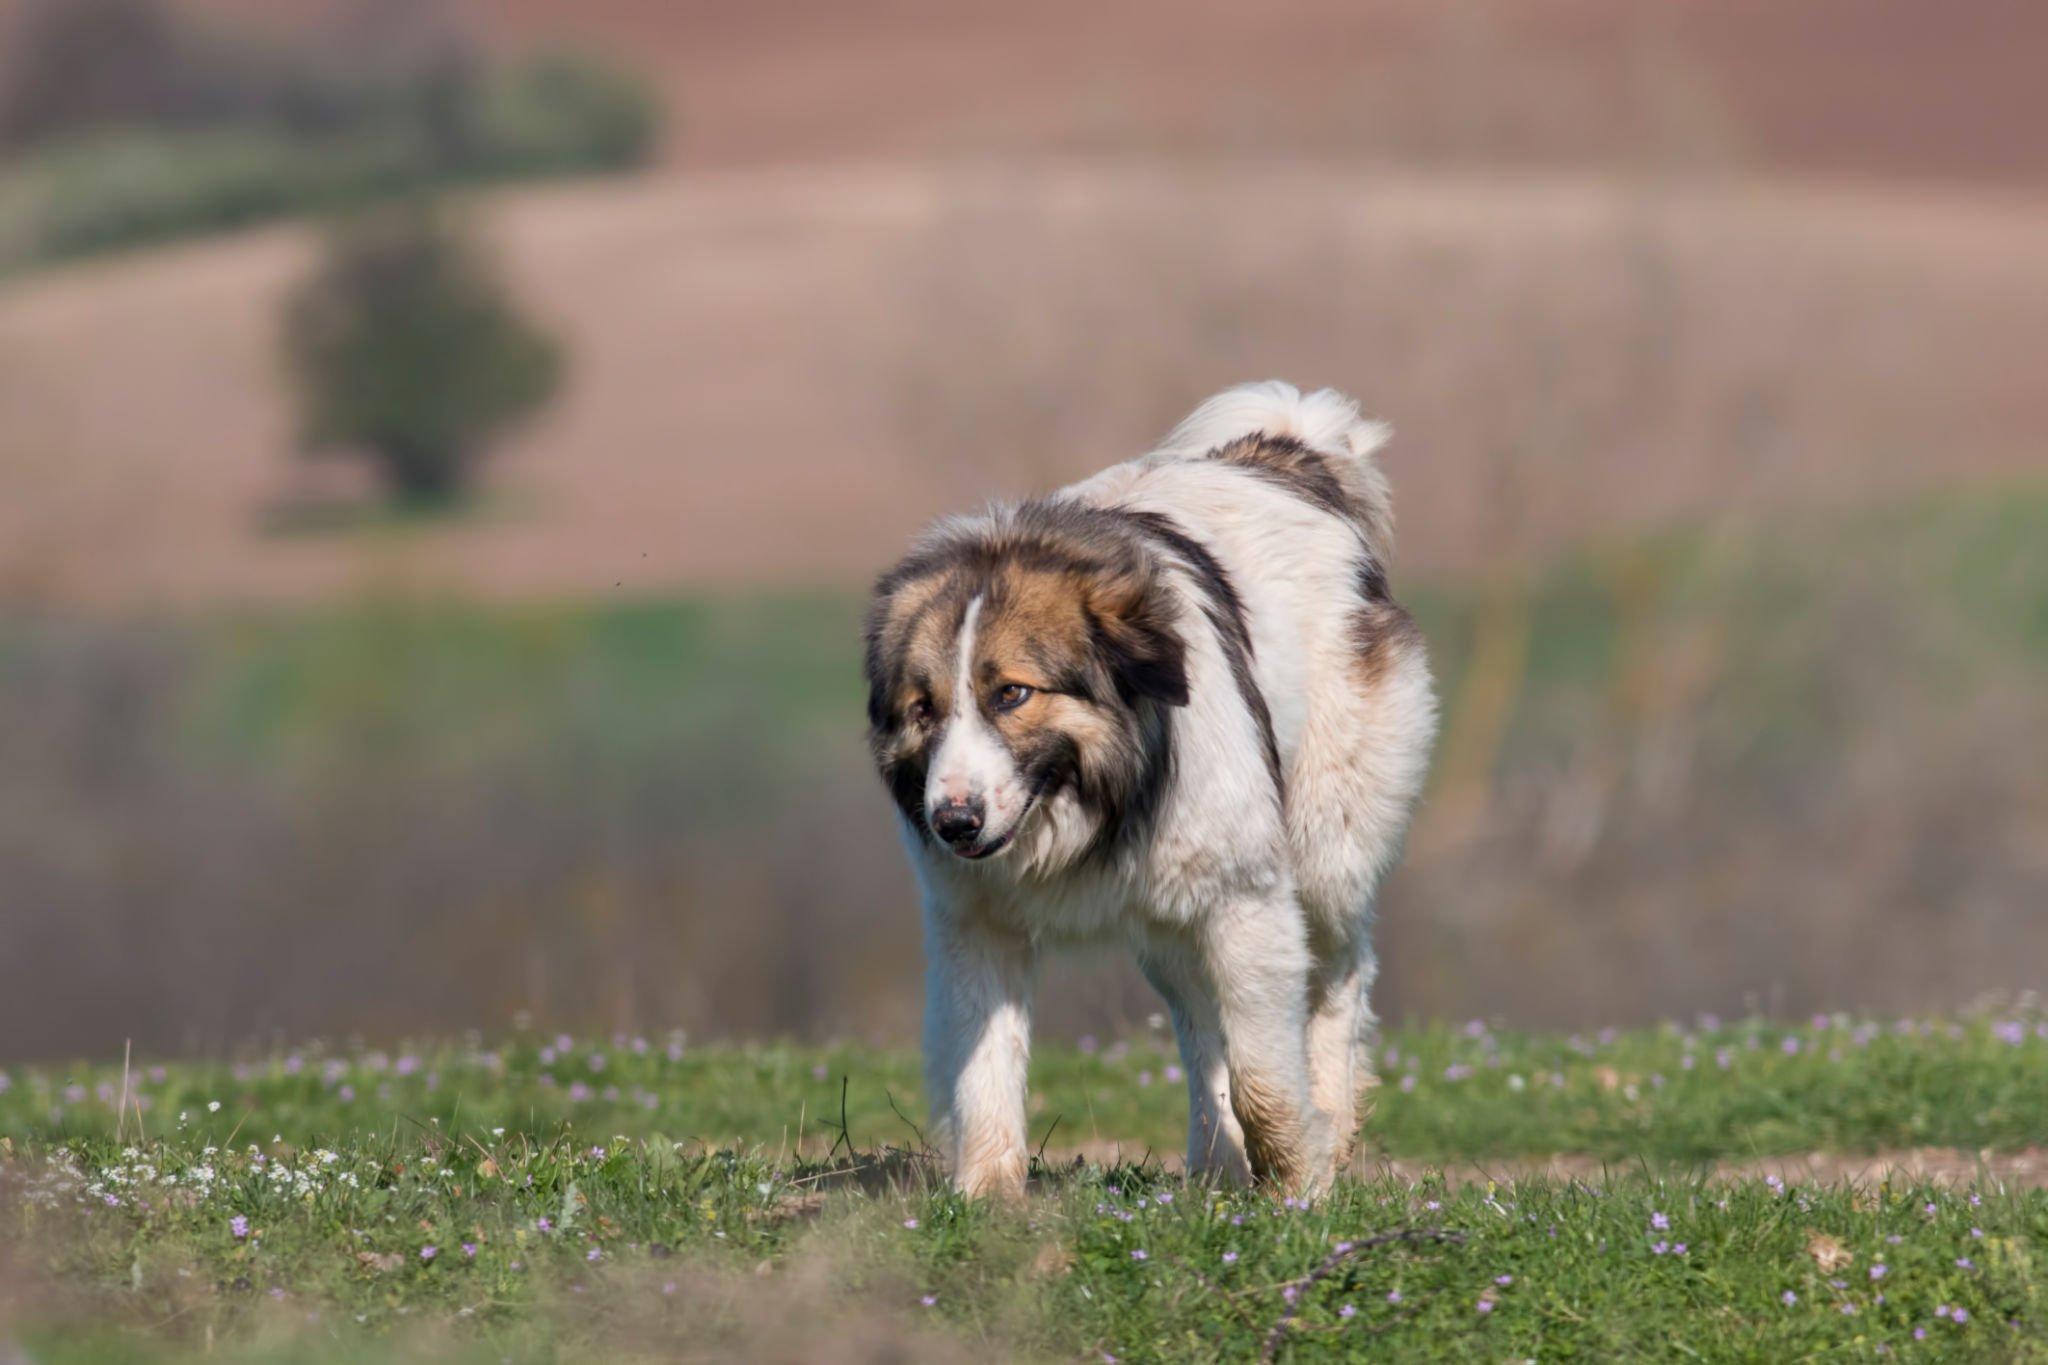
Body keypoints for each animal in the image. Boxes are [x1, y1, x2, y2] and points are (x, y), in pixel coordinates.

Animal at [868, 378, 1441, 1203]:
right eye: (924, 709)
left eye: (1012, 694)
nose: (952, 820)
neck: (1093, 799)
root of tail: (1283, 455)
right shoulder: (975, 925)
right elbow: (985, 1072)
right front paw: (986, 1198)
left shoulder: (1247, 902)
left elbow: (1264, 1074)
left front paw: (1297, 1180)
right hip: (1169, 927)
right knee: (1201, 1029)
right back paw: (1214, 1165)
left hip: (1323, 856)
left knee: (1340, 976)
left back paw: (1326, 1122)